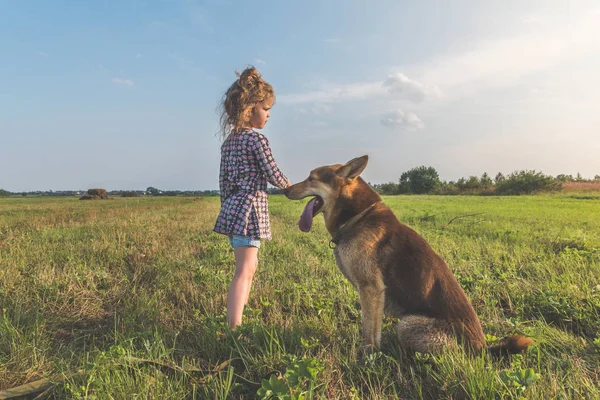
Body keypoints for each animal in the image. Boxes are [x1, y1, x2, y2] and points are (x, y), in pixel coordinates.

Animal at [284, 155, 532, 354]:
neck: (357, 216)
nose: (284, 189)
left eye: (311, 178)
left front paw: (367, 357)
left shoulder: (371, 289)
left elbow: (369, 332)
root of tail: (482, 349)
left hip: (407, 325)